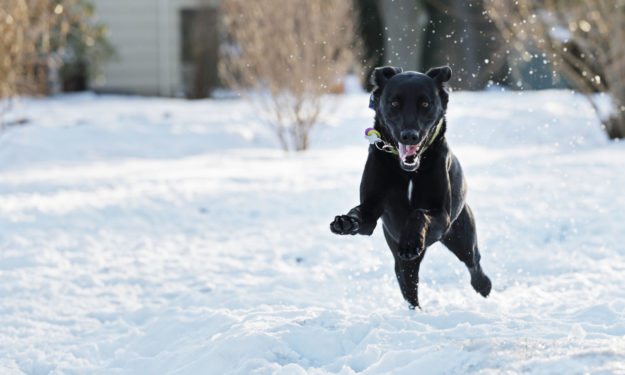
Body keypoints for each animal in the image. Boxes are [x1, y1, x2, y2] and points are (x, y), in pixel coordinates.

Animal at [330, 66, 490, 310]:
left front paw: (411, 241)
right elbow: (359, 213)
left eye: (425, 104)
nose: (409, 135)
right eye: (394, 103)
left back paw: (483, 286)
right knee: (410, 289)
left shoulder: (442, 216)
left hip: (462, 236)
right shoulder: (371, 210)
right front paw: (346, 222)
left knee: (473, 262)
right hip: (402, 266)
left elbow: (418, 213)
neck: (408, 172)